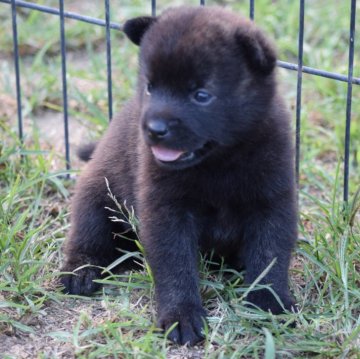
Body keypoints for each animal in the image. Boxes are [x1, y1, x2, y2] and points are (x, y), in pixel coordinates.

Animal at [60, 5, 296, 348]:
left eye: (201, 95)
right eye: (150, 86)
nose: (154, 129)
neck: (219, 162)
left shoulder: (273, 200)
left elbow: (270, 256)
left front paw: (269, 303)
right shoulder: (167, 211)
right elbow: (175, 266)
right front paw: (180, 316)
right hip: (97, 196)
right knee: (87, 237)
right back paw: (81, 272)